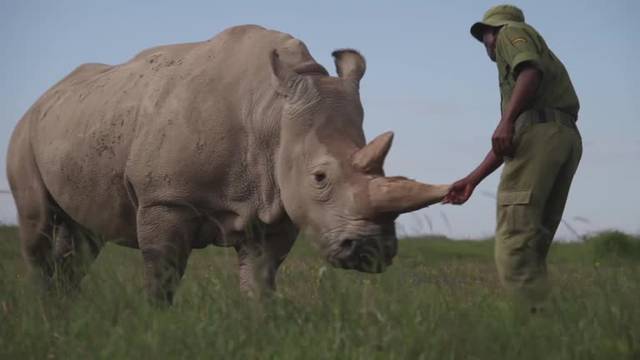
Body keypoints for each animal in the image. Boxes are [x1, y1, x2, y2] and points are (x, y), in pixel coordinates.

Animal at [8, 23, 450, 302]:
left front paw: (261, 326)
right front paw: (155, 324)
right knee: (36, 225)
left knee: (83, 236)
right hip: (26, 129)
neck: (271, 113)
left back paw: (66, 312)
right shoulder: (165, 198)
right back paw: (47, 312)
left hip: (78, 122)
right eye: (320, 177)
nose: (372, 252)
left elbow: (261, 279)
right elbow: (162, 276)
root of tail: (46, 96)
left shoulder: (275, 203)